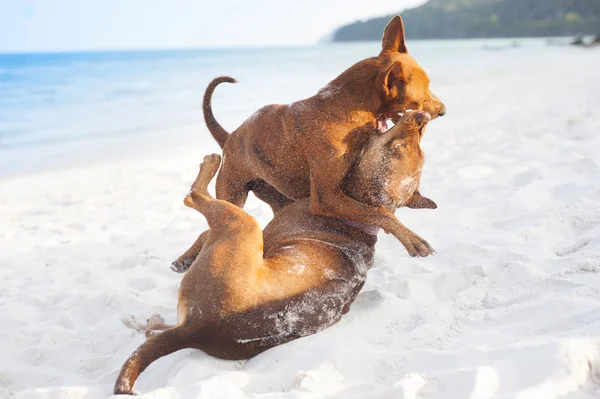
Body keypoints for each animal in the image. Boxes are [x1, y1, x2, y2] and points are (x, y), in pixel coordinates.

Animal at [116, 111, 436, 396]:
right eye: (411, 146)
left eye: (401, 146)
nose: (421, 116)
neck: (354, 214)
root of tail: (198, 329)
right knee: (154, 332)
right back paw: (151, 322)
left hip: (244, 226)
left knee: (193, 196)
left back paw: (210, 163)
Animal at [171, 16, 442, 272]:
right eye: (423, 95)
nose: (443, 111)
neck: (346, 106)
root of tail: (229, 138)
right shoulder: (326, 198)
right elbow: (379, 212)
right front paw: (413, 240)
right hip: (233, 193)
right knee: (210, 226)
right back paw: (185, 257)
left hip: (276, 199)